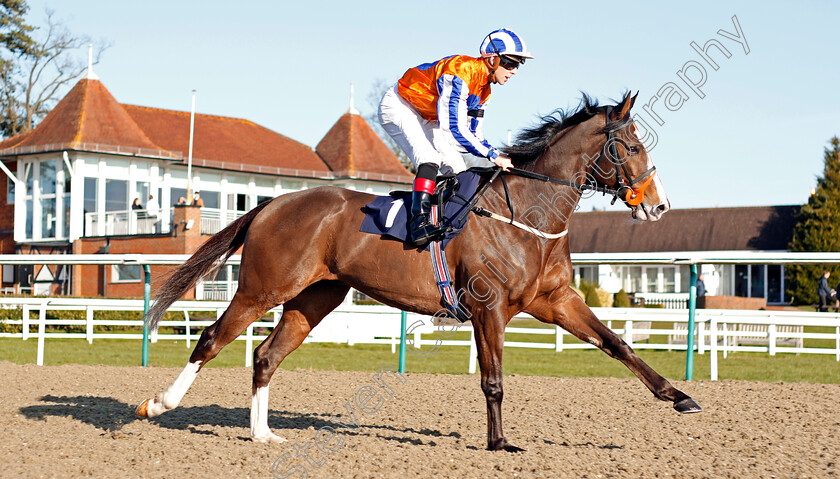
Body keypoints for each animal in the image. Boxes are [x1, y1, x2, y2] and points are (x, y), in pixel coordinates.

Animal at [138, 91, 704, 454]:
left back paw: (262, 434)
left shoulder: (556, 300)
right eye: (632, 147)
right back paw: (159, 404)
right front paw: (500, 442)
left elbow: (617, 344)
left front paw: (680, 397)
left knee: (265, 355)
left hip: (315, 297)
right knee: (211, 338)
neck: (529, 212)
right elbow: (493, 380)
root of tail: (273, 204)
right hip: (264, 286)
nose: (659, 205)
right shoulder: (489, 307)